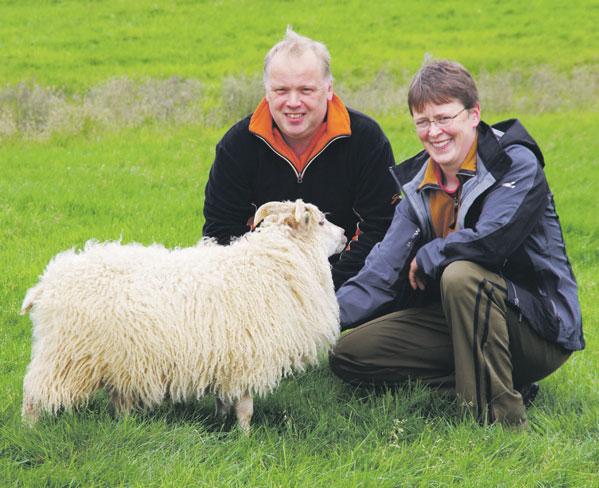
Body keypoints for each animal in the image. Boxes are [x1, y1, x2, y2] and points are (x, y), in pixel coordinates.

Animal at [19, 198, 346, 430]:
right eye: (320, 221)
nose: (345, 234)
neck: (274, 262)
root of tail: (46, 284)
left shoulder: (226, 356)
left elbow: (225, 400)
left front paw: (221, 423)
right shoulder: (247, 356)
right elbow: (245, 408)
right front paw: (245, 437)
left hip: (113, 356)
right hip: (64, 355)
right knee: (33, 395)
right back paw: (30, 431)